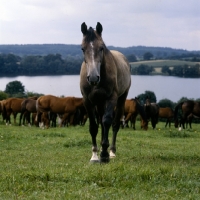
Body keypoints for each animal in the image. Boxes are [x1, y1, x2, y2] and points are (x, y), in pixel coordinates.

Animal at [79, 21, 131, 162]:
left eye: (101, 48)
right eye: (82, 48)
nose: (93, 78)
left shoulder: (111, 98)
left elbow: (107, 121)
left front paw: (104, 154)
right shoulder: (88, 101)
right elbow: (93, 126)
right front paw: (95, 155)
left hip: (121, 99)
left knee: (114, 125)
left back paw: (112, 151)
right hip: (99, 103)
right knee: (101, 123)